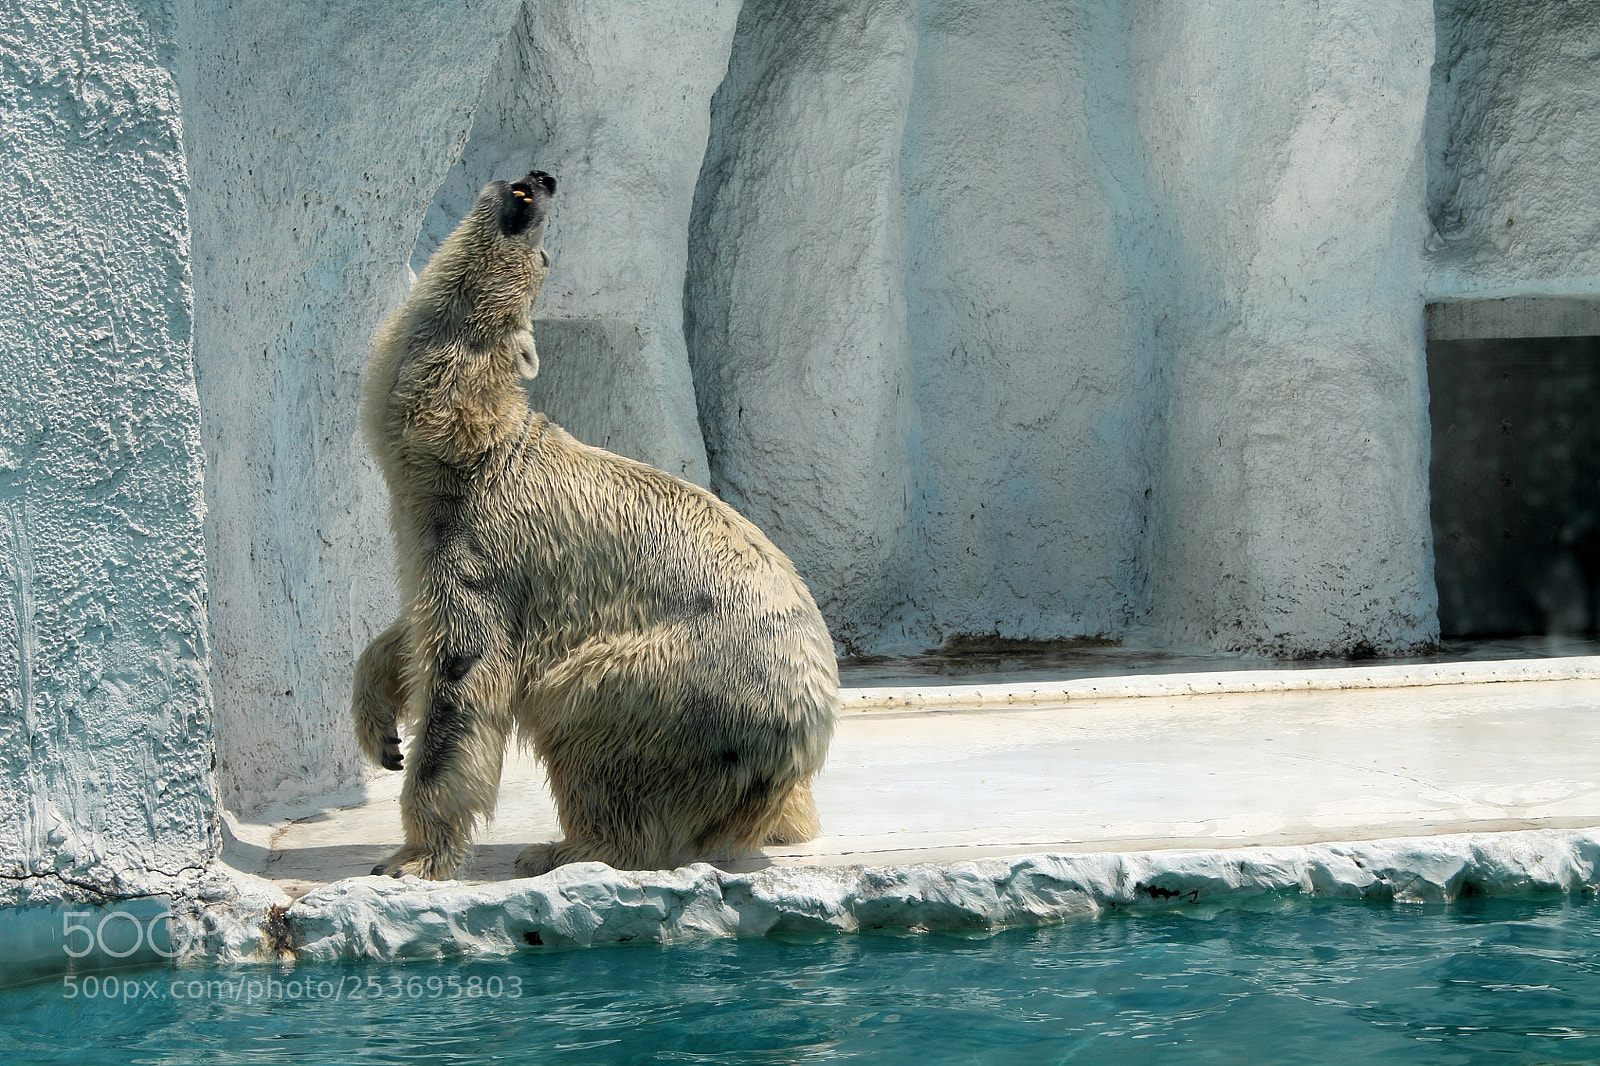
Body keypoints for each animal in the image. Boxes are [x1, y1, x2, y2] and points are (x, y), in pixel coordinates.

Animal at [353, 170, 838, 877]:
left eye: (543, 259)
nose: (541, 178)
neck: (470, 449)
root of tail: (810, 738)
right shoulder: (427, 532)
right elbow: (409, 633)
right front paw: (379, 726)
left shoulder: (487, 547)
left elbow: (463, 679)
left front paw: (411, 856)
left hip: (689, 688)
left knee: (582, 706)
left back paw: (568, 846)